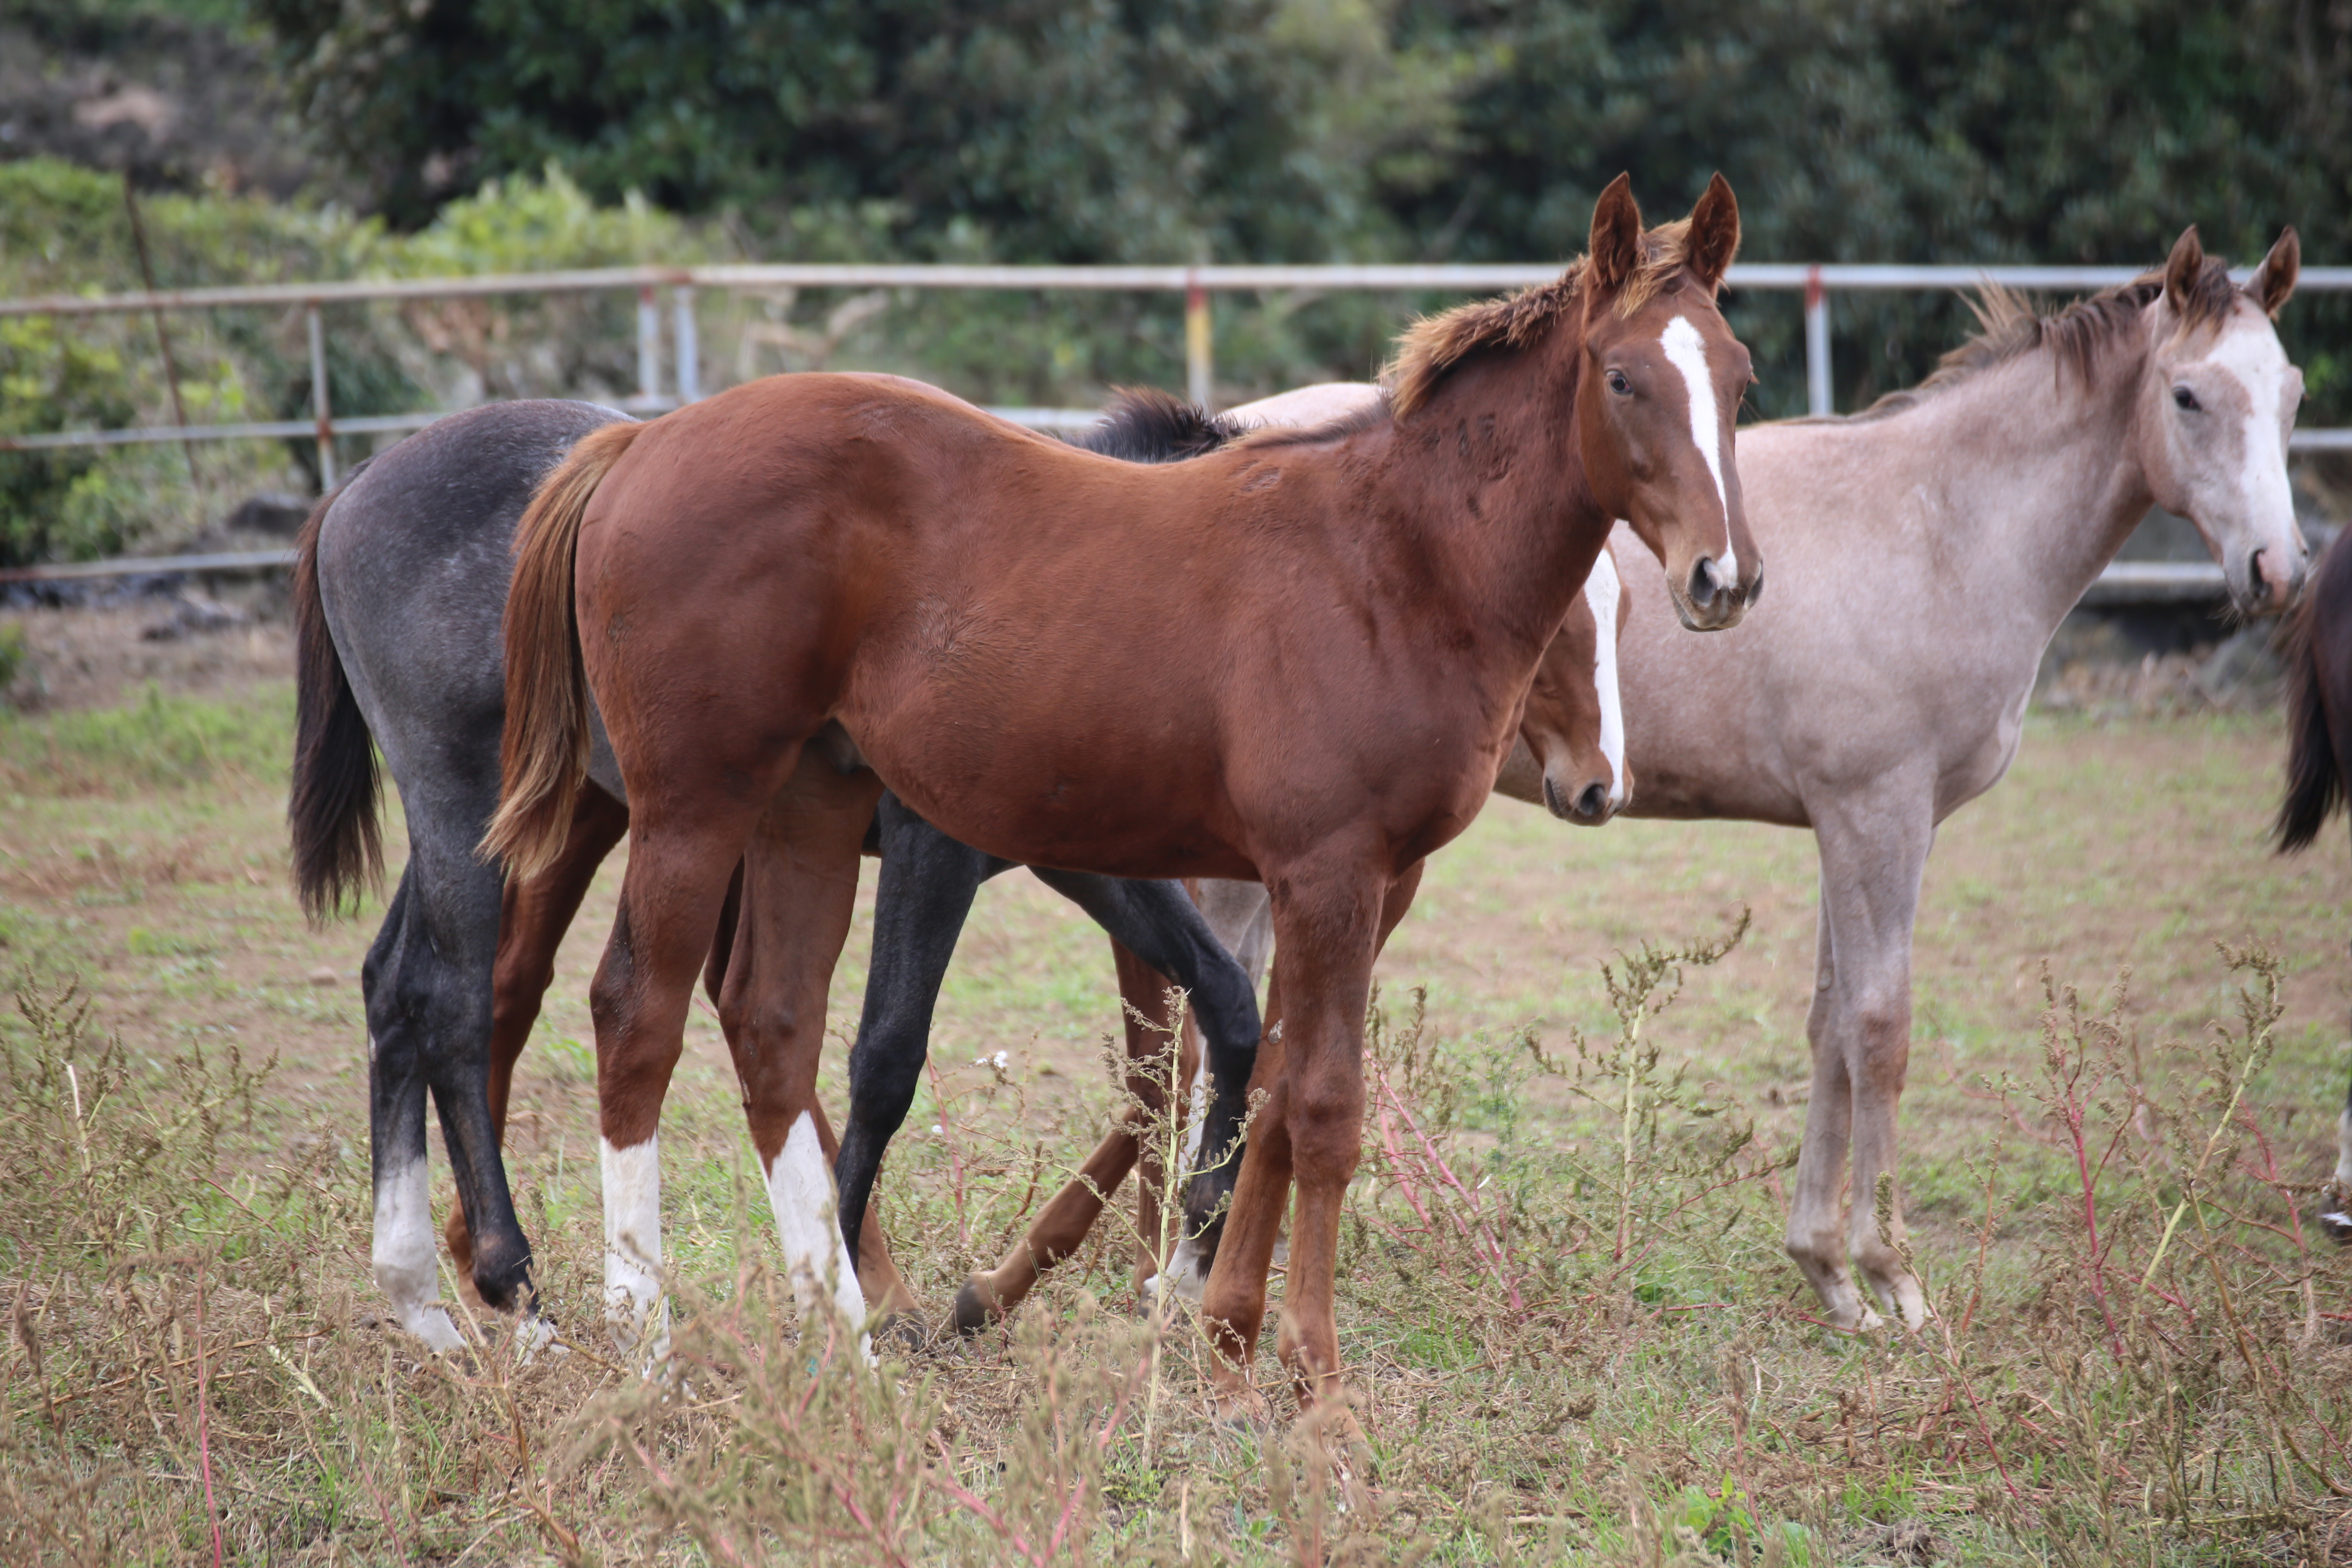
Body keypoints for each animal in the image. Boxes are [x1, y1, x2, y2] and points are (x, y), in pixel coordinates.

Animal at [487, 177, 1759, 1420]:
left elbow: (1262, 1087)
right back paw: (642, 1351)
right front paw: (1311, 1378)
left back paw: (847, 1349)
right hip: (692, 806)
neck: (1389, 563)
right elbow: (1321, 1108)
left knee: (772, 1024)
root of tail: (638, 441)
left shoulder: (1342, 883)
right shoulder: (1324, 870)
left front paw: (1221, 1330)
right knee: (633, 1016)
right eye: (1621, 377)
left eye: (1740, 377)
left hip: (805, 805)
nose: (1724, 579)